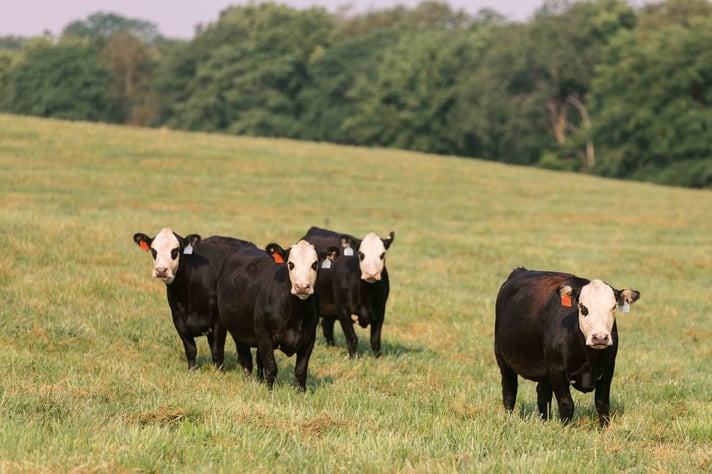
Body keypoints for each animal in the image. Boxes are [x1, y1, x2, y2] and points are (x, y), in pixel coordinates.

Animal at [133, 228, 254, 370]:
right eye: (153, 251)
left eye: (175, 250)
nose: (161, 270)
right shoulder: (178, 320)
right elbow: (191, 349)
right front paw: (192, 370)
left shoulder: (218, 321)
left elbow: (217, 349)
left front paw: (220, 371)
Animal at [216, 240, 322, 391]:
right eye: (291, 264)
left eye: (315, 264)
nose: (302, 287)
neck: (296, 315)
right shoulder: (264, 335)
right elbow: (271, 368)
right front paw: (269, 391)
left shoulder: (309, 339)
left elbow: (300, 371)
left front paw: (302, 393)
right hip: (232, 328)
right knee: (242, 358)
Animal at [300, 226, 395, 358]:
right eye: (361, 254)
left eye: (382, 254)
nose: (371, 274)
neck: (367, 297)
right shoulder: (342, 309)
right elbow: (352, 338)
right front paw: (352, 358)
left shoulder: (380, 310)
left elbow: (375, 340)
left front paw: (377, 358)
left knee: (327, 325)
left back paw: (332, 347)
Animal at [494, 267, 640, 427]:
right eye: (583, 307)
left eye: (613, 307)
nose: (600, 337)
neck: (590, 358)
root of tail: (520, 271)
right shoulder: (557, 369)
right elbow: (566, 405)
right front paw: (566, 429)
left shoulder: (608, 368)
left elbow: (602, 403)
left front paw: (604, 429)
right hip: (503, 359)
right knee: (509, 392)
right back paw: (508, 421)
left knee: (542, 393)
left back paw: (545, 422)